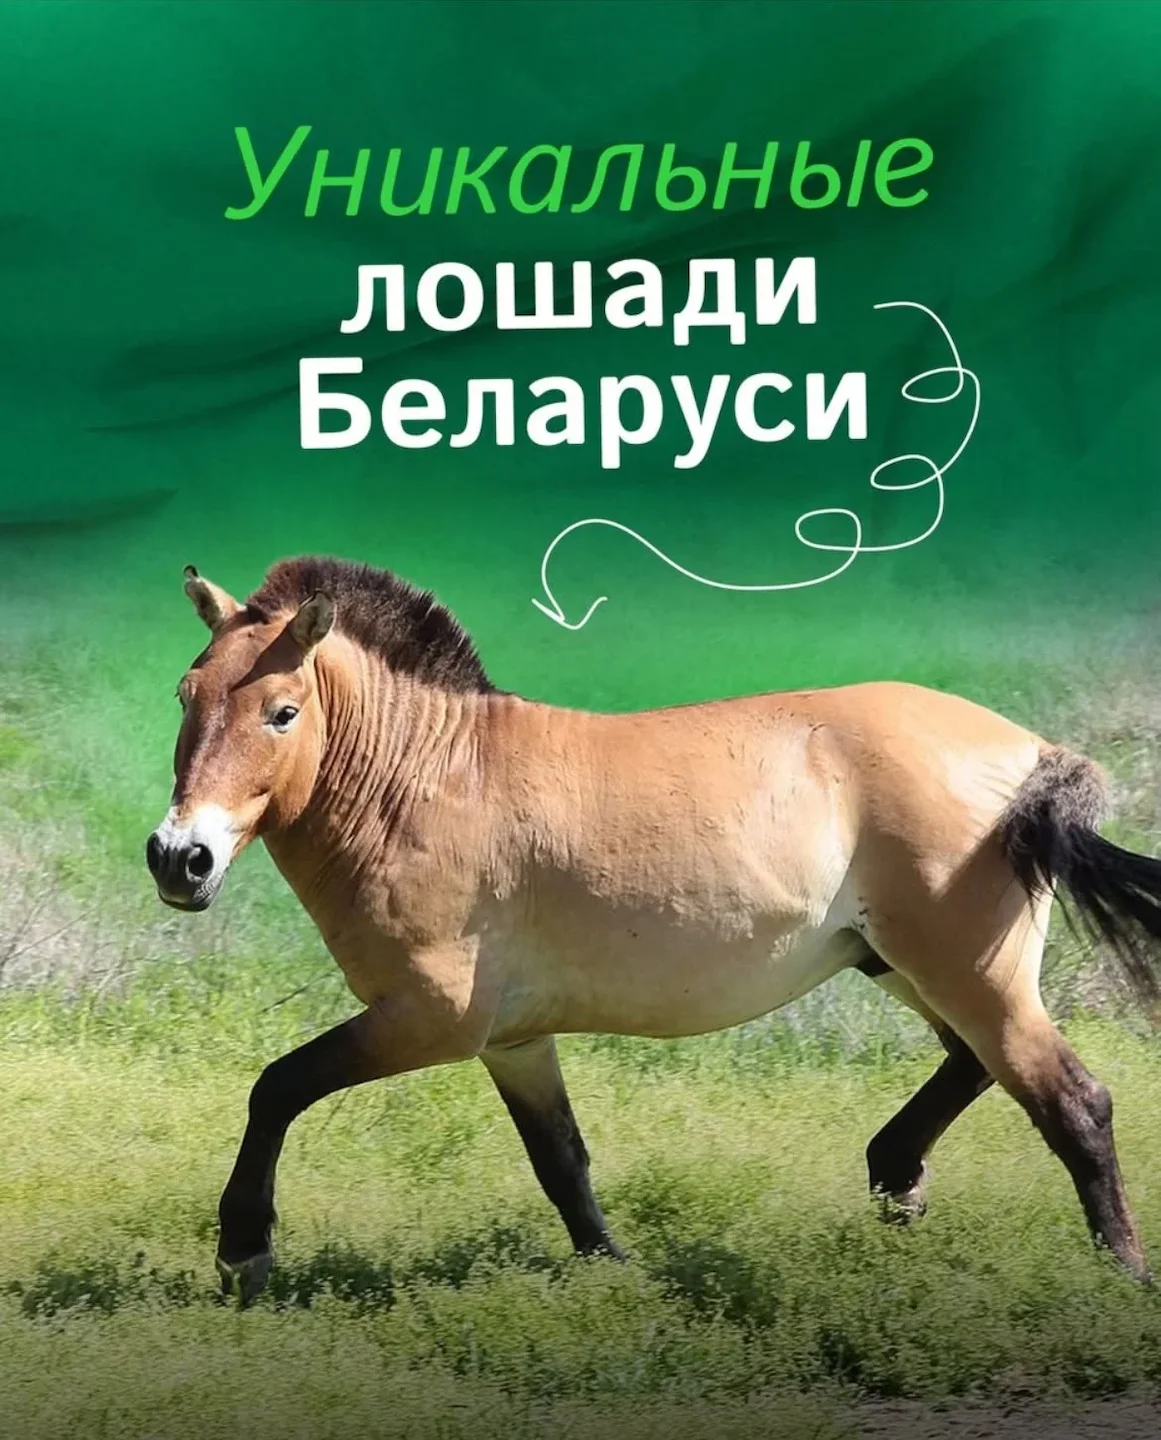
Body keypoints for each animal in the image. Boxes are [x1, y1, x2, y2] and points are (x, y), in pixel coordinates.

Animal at [146, 554, 1161, 1304]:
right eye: (186, 696)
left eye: (282, 712)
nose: (178, 859)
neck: (428, 782)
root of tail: (1031, 754)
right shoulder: (513, 1041)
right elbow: (561, 1161)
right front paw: (617, 1278)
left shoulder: (430, 1021)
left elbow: (277, 1087)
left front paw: (243, 1251)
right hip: (900, 964)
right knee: (970, 1066)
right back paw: (895, 1178)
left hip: (969, 973)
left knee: (1071, 1101)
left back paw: (1118, 1278)